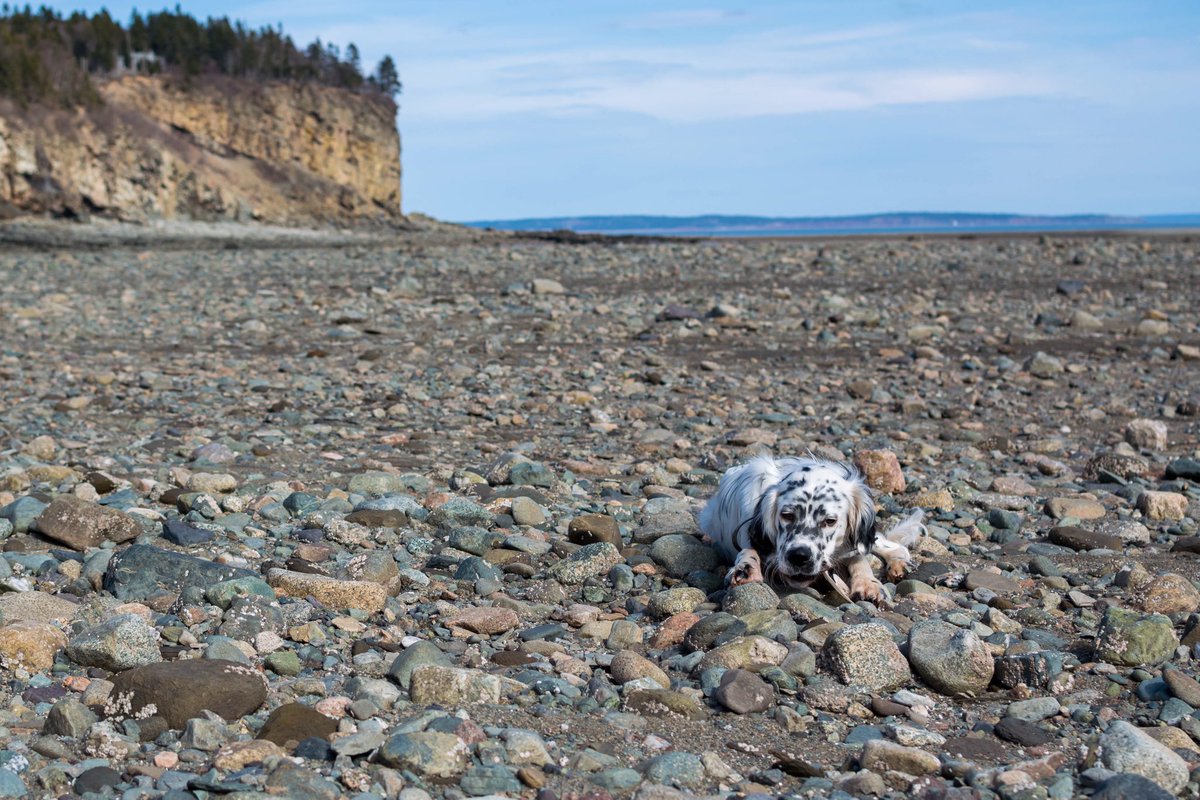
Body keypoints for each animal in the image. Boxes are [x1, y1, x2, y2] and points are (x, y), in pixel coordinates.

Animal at [696, 455, 926, 599]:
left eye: (830, 521)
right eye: (787, 515)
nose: (799, 557)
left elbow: (859, 558)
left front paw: (869, 583)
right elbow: (748, 549)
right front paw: (745, 568)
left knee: (892, 546)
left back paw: (898, 563)